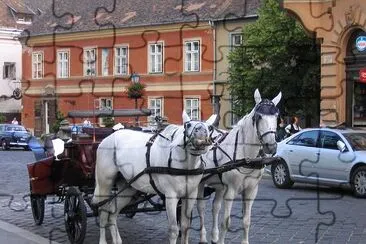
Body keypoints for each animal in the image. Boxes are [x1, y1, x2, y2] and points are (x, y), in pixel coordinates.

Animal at [92, 111, 217, 244]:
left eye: (210, 128)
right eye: (188, 125)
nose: (201, 133)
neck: (185, 165)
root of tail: (108, 138)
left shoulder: (190, 195)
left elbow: (185, 226)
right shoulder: (171, 196)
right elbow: (173, 229)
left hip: (127, 188)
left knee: (112, 213)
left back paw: (117, 240)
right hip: (105, 184)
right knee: (103, 213)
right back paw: (102, 240)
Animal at [197, 89, 280, 244]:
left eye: (277, 115)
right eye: (258, 116)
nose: (271, 146)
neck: (245, 156)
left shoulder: (251, 191)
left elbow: (246, 221)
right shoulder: (230, 190)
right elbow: (226, 222)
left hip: (219, 186)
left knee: (215, 207)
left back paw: (214, 236)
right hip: (199, 183)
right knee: (201, 208)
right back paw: (203, 237)